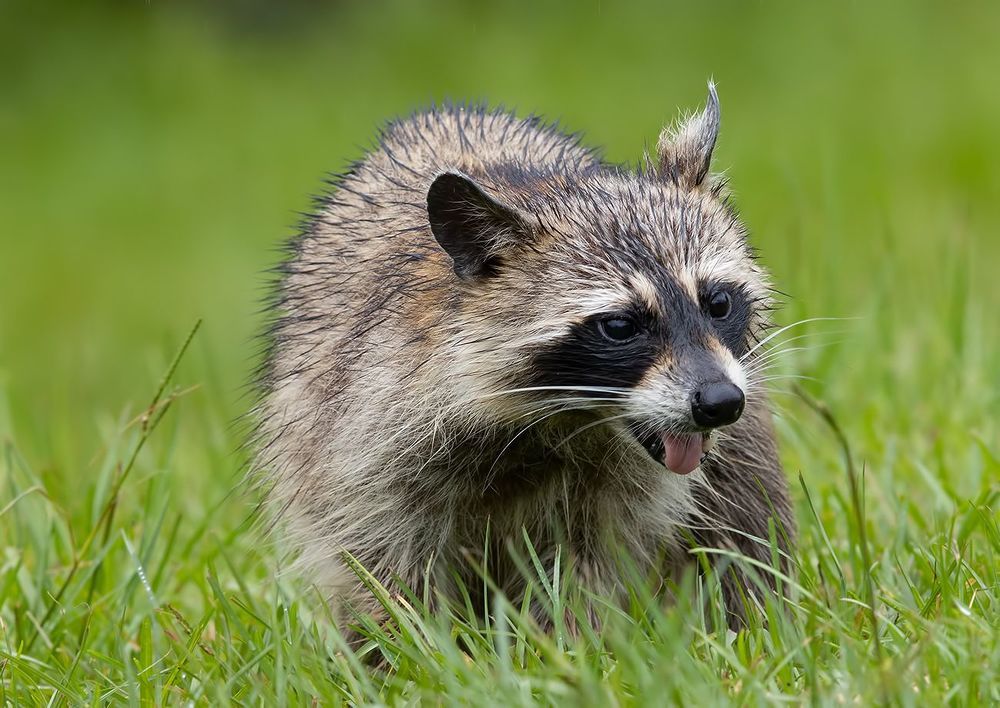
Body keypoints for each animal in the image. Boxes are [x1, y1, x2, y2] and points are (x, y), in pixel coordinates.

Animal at [255, 83, 795, 633]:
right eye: (620, 326)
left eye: (718, 302)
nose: (720, 402)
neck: (561, 417)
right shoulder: (367, 426)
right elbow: (381, 559)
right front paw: (410, 645)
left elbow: (583, 567)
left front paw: (565, 639)